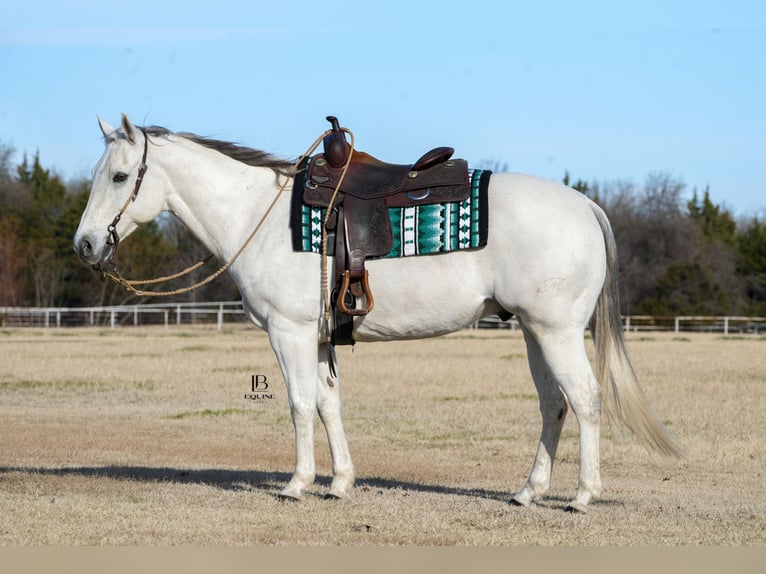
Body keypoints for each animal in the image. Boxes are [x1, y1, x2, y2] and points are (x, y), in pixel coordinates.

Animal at [75, 112, 680, 512]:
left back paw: (582, 495)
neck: (258, 215)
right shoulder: (320, 339)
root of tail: (585, 204)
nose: (85, 245)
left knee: (585, 399)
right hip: (535, 332)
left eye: (120, 177)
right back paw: (529, 491)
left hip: (557, 331)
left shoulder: (290, 333)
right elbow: (328, 404)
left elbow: (299, 404)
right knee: (554, 403)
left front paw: (297, 484)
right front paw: (340, 482)